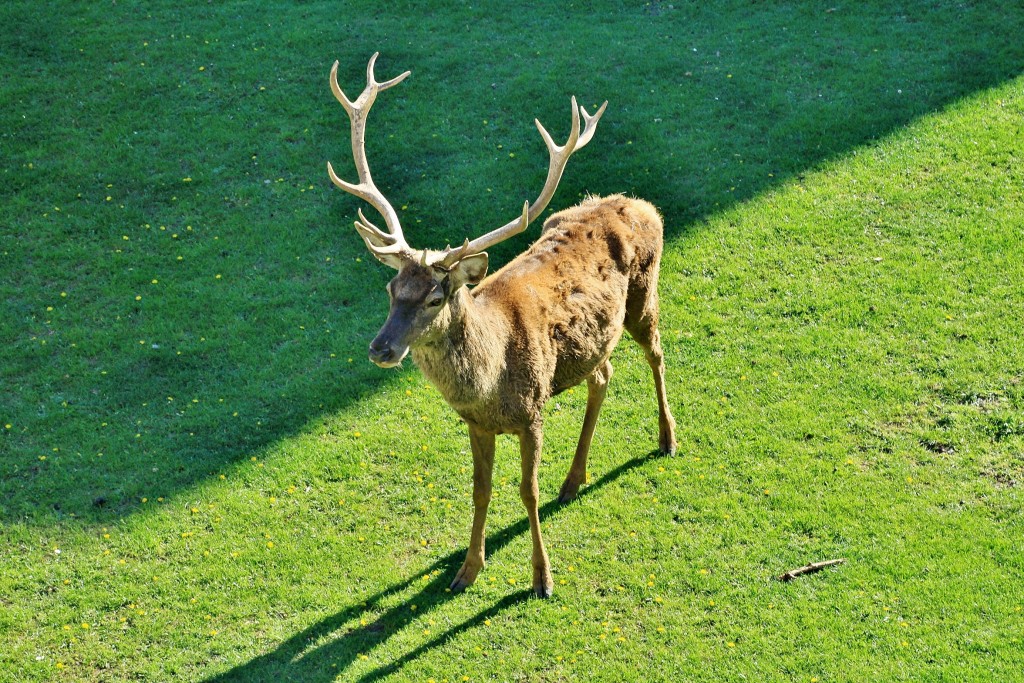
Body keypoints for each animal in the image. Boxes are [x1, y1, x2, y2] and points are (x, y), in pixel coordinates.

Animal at [329, 53, 679, 598]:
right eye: (390, 288)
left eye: (435, 297)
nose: (380, 348)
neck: (489, 383)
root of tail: (640, 202)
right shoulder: (475, 423)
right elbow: (480, 490)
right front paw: (466, 571)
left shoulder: (533, 410)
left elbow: (526, 491)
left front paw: (542, 578)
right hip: (595, 339)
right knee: (603, 374)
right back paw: (574, 479)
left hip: (645, 295)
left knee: (657, 353)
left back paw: (667, 439)